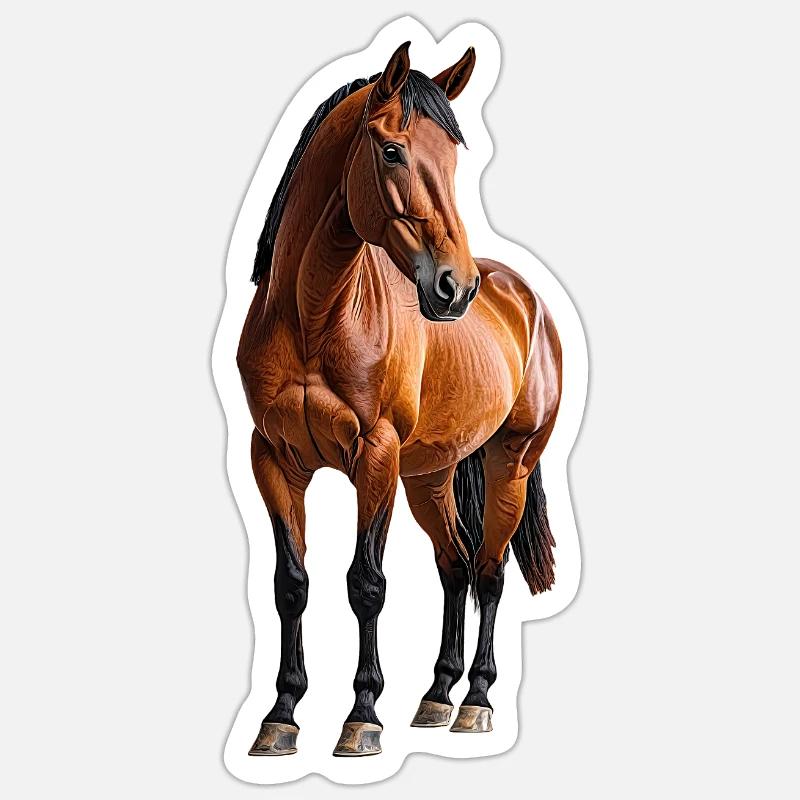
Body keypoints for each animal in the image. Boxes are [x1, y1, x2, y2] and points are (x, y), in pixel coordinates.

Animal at [237, 41, 562, 757]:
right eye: (392, 151)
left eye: (454, 159)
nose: (454, 287)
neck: (316, 316)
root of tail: (524, 297)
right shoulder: (272, 458)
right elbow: (290, 585)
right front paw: (281, 716)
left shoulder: (375, 459)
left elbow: (367, 583)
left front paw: (361, 716)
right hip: (430, 477)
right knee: (456, 566)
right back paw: (437, 696)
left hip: (509, 463)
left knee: (489, 572)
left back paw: (475, 702)